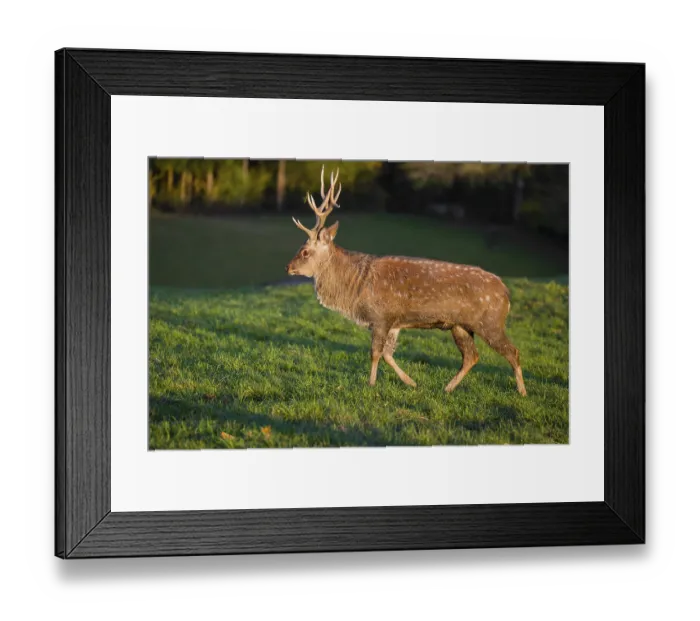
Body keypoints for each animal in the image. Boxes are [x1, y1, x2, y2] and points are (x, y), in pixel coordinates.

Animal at [285, 167, 527, 396]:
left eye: (305, 251)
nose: (288, 267)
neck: (354, 291)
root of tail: (505, 292)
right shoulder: (393, 322)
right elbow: (388, 354)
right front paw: (411, 382)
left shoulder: (381, 316)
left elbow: (375, 353)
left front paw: (371, 384)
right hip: (460, 326)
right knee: (472, 356)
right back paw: (447, 388)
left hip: (490, 322)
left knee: (513, 351)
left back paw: (522, 391)